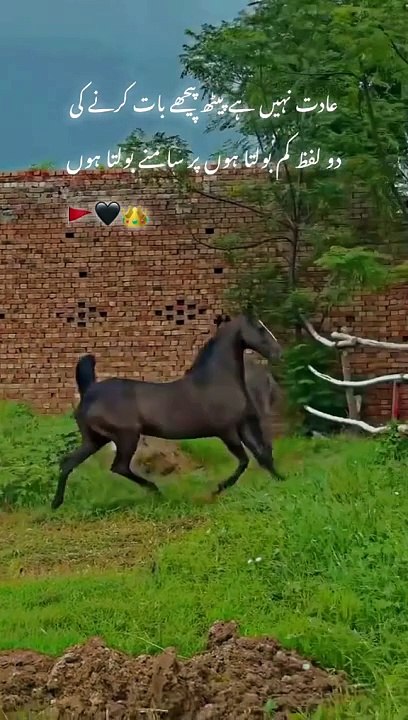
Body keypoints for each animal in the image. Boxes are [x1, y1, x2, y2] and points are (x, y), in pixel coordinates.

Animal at [51, 314, 283, 509]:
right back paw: (157, 491)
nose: (278, 353)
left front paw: (281, 480)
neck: (217, 380)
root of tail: (89, 391)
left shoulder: (242, 425)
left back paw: (56, 503)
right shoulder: (226, 431)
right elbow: (244, 460)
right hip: (126, 437)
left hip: (95, 439)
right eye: (260, 329)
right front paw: (217, 489)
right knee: (119, 467)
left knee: (68, 462)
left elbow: (262, 456)